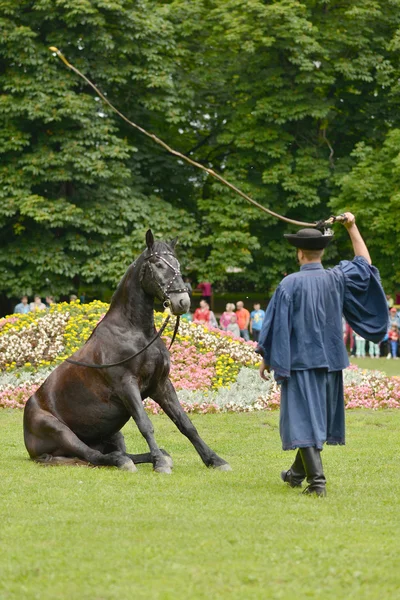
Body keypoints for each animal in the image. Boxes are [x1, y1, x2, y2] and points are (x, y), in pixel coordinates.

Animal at [23, 230, 231, 474]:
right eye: (158, 264)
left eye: (178, 264)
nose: (182, 302)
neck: (134, 332)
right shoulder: (126, 385)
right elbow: (145, 424)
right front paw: (160, 464)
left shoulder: (161, 385)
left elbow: (186, 424)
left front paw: (215, 460)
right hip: (61, 431)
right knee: (93, 455)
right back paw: (128, 461)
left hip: (113, 433)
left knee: (114, 452)